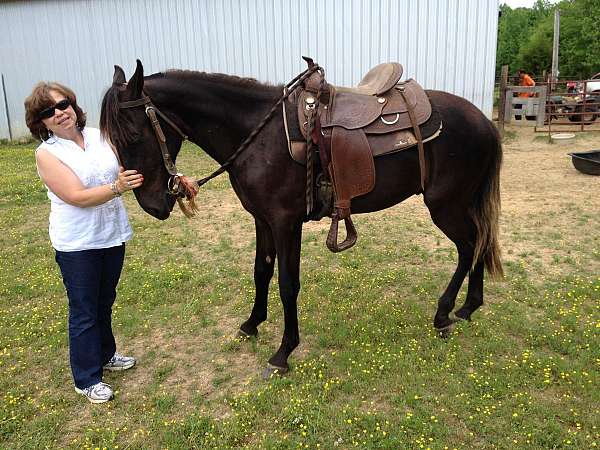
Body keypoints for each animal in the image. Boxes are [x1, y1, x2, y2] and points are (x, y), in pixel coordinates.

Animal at [101, 59, 504, 376]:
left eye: (133, 135)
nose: (153, 205)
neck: (260, 136)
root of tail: (485, 122)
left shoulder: (285, 222)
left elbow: (286, 283)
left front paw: (283, 352)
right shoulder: (261, 219)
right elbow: (261, 272)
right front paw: (251, 324)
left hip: (446, 206)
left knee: (469, 246)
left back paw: (444, 314)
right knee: (481, 241)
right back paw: (470, 307)